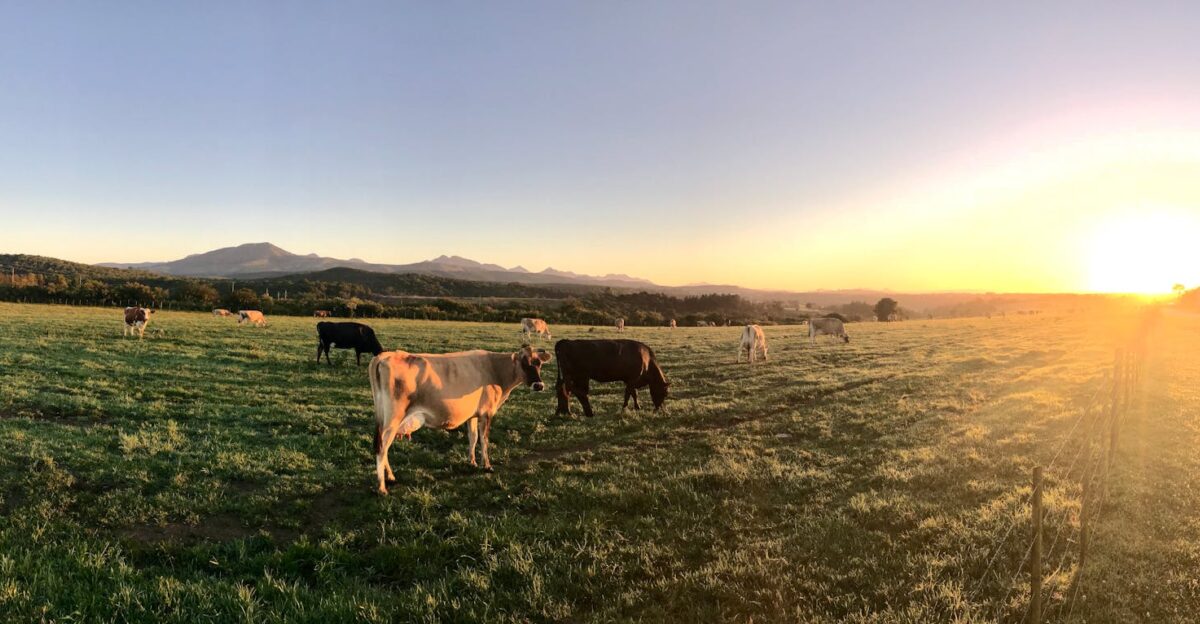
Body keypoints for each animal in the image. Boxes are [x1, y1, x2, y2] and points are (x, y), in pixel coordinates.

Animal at [368, 345, 552, 494]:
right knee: (382, 448)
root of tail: (384, 356)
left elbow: (473, 438)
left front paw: (472, 462)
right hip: (392, 420)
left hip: (384, 419)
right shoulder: (487, 413)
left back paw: (391, 477)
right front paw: (487, 466)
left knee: (383, 447)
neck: (495, 369)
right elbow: (484, 440)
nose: (539, 385)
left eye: (539, 364)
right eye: (524, 363)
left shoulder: (473, 414)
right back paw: (382, 487)